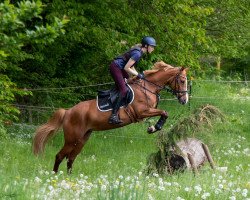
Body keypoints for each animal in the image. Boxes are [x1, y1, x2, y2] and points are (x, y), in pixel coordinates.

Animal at [33, 61, 189, 173]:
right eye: (182, 80)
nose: (185, 100)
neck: (148, 87)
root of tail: (68, 111)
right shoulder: (142, 112)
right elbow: (164, 112)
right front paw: (154, 127)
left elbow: (164, 113)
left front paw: (153, 127)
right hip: (72, 139)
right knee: (60, 156)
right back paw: (54, 176)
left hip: (83, 139)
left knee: (70, 158)